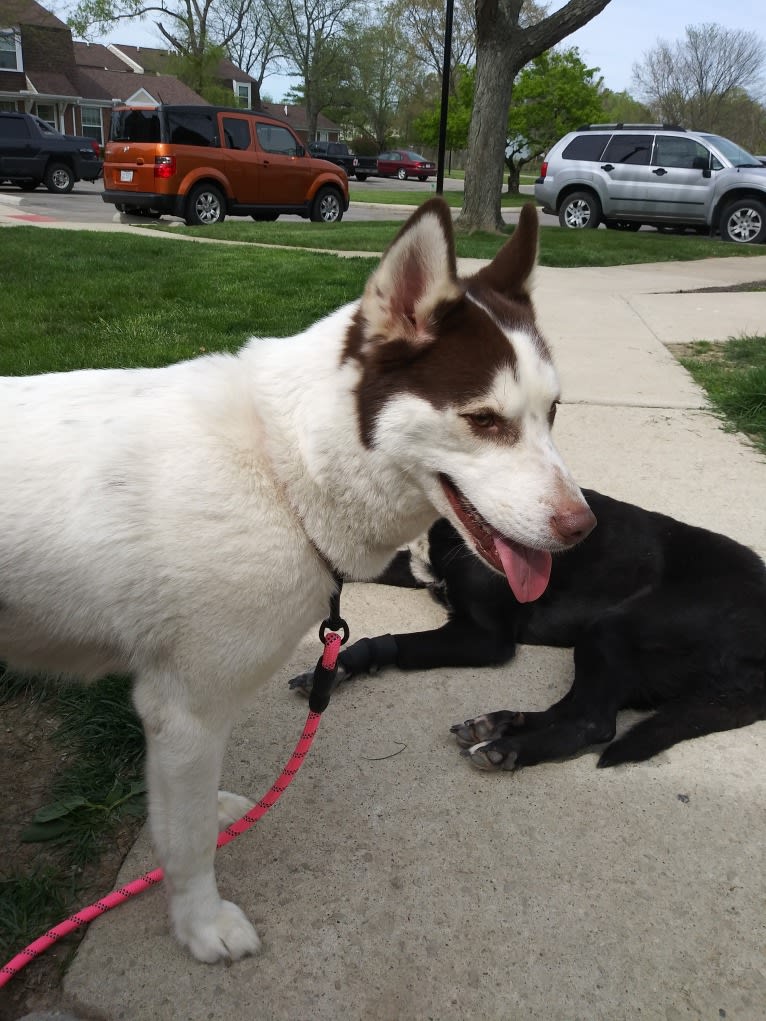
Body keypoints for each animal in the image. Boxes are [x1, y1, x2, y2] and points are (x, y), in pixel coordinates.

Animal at [0, 201, 596, 963]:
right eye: (484, 420)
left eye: (552, 412)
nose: (584, 528)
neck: (283, 466)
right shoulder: (184, 706)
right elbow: (188, 844)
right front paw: (200, 923)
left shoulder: (188, 719)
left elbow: (187, 814)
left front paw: (206, 816)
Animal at [290, 490, 763, 767]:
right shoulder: (417, 568)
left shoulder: (485, 638)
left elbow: (398, 643)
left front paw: (341, 665)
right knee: (576, 709)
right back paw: (499, 725)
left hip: (613, 628)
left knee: (594, 722)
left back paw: (508, 748)